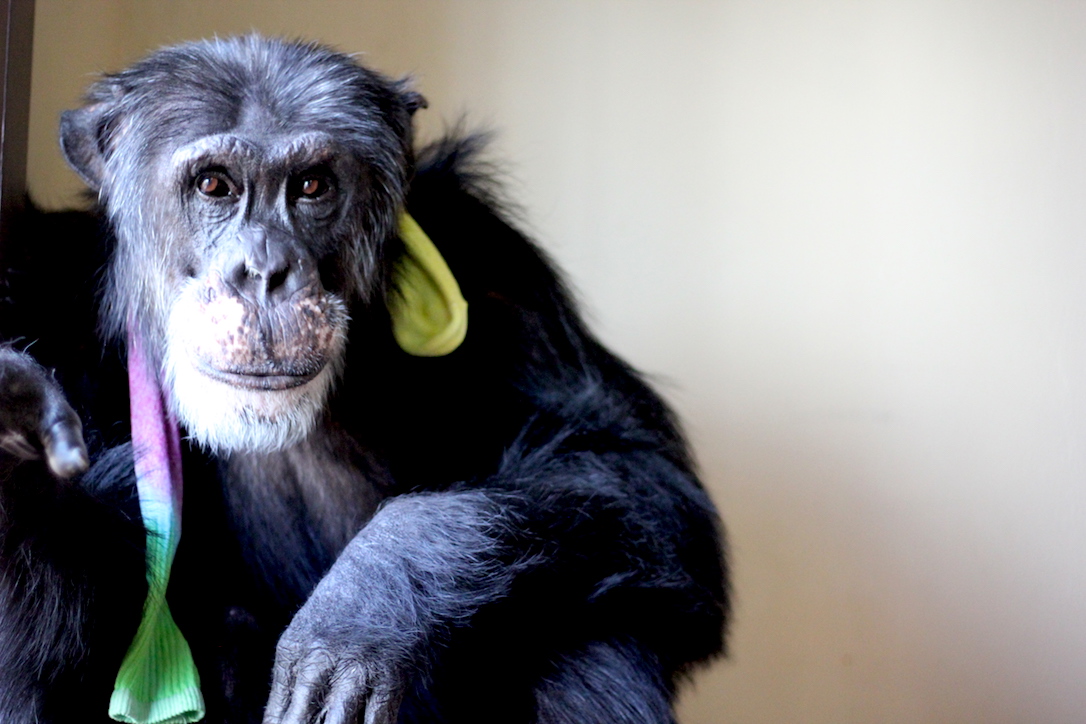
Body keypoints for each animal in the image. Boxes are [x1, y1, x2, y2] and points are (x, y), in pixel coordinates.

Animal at [0, 35, 727, 724]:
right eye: (214, 186)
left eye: (312, 187)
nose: (264, 271)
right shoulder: (31, 283)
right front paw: (19, 445)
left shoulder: (497, 264)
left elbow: (628, 465)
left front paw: (369, 597)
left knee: (593, 629)